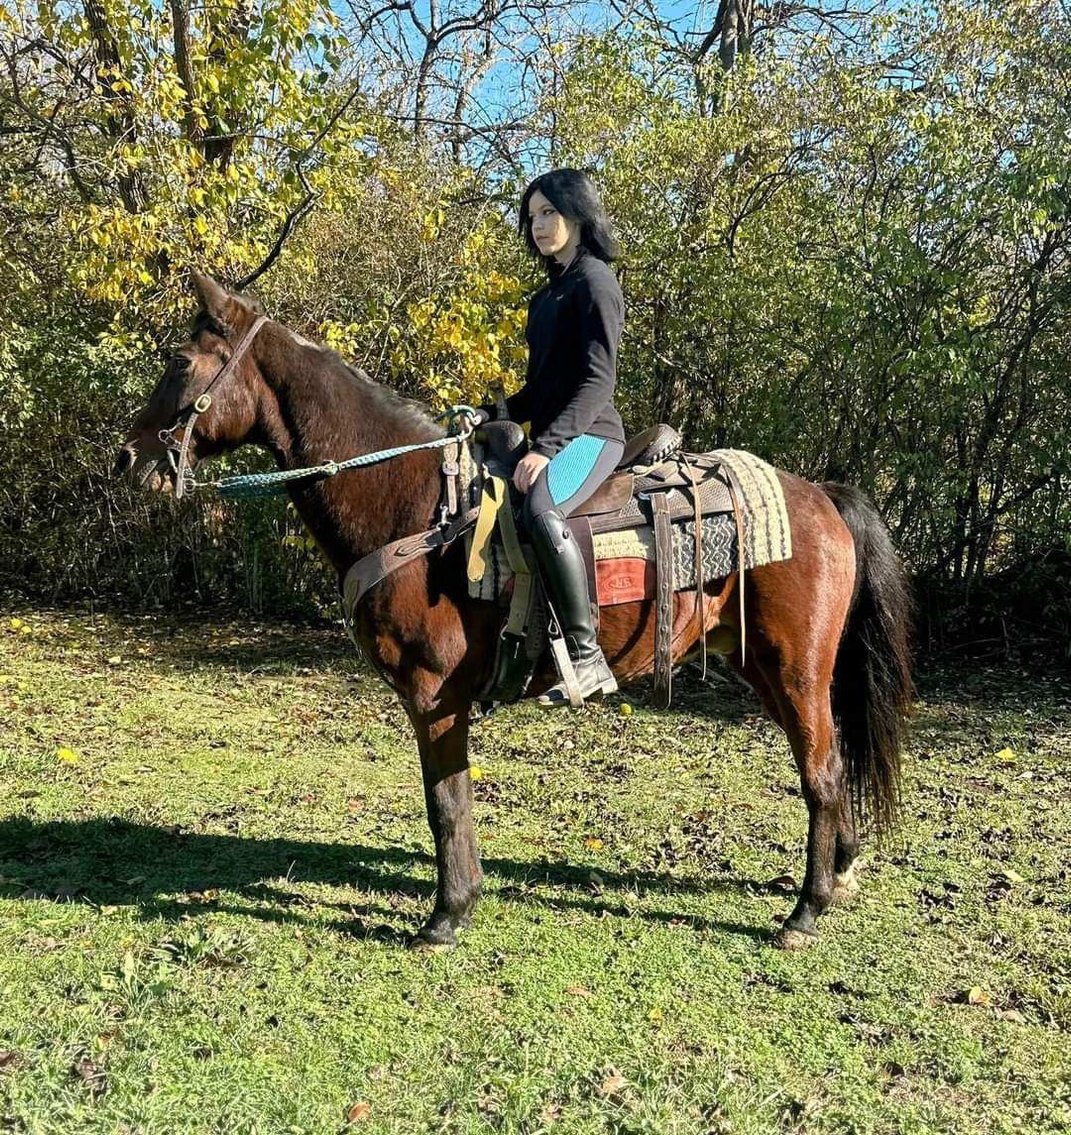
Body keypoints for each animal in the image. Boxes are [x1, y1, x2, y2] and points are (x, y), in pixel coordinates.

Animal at [116, 273, 914, 951]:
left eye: (179, 362)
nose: (128, 458)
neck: (417, 506)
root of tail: (819, 495)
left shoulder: (433, 695)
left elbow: (446, 800)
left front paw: (447, 913)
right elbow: (449, 798)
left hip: (795, 669)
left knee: (821, 773)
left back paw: (804, 910)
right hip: (764, 668)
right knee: (828, 762)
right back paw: (838, 870)